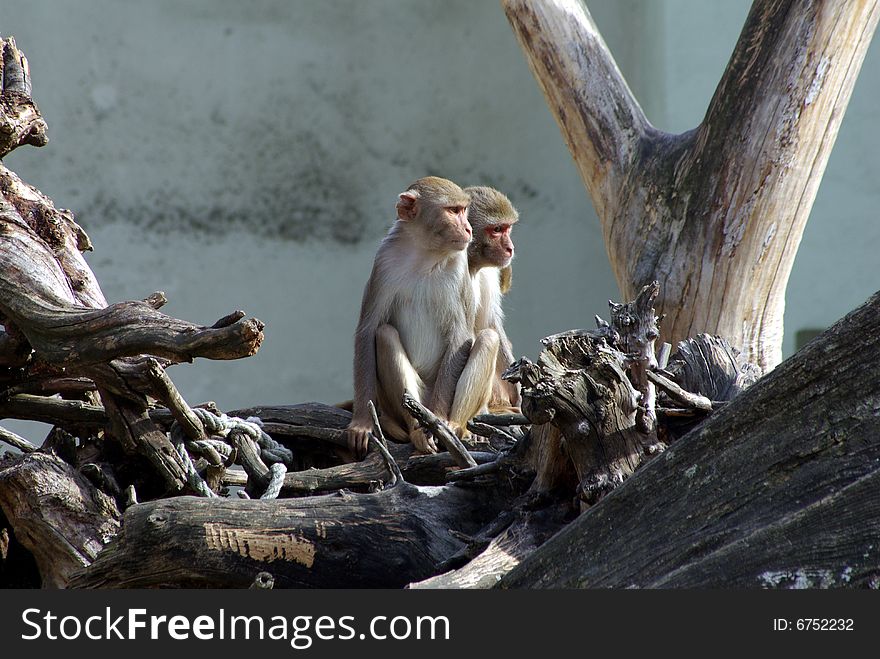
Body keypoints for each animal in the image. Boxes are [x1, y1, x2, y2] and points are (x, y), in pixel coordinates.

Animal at [348, 178, 506, 462]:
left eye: (464, 210)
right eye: (453, 211)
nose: (467, 228)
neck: (426, 254)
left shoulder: (459, 268)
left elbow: (461, 336)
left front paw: (443, 419)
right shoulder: (384, 260)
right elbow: (368, 329)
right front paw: (362, 423)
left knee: (488, 338)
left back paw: (453, 426)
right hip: (417, 398)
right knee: (385, 334)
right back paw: (416, 430)